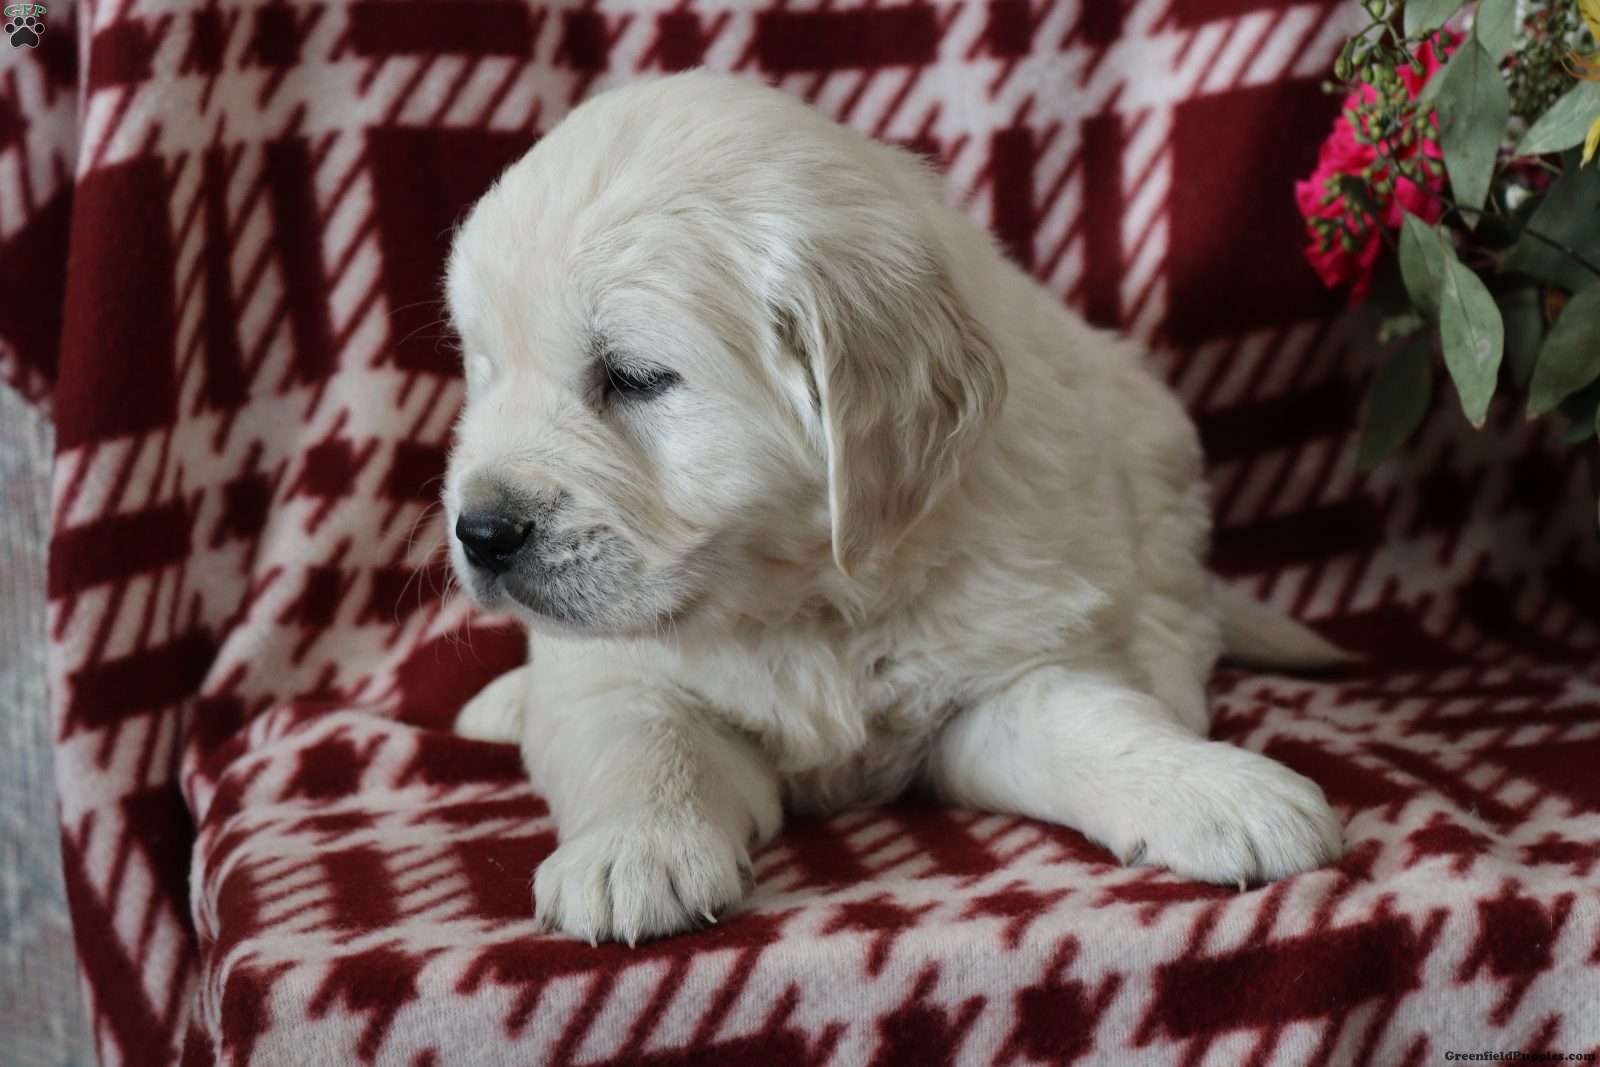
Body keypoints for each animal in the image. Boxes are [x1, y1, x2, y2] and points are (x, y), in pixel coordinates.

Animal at [442, 72, 1346, 945]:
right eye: (485, 371)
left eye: (632, 377)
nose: (481, 531)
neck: (806, 596)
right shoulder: (611, 670)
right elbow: (641, 740)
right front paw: (633, 852)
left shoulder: (1003, 667)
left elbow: (1097, 719)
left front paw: (1217, 788)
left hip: (1156, 447)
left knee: (1177, 612)